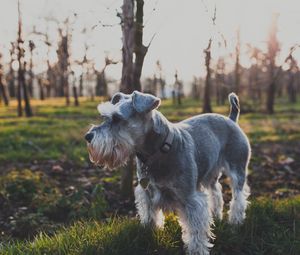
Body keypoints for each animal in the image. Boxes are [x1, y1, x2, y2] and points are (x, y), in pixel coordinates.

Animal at [85, 91, 251, 255]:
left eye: (117, 118)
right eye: (104, 117)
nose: (88, 137)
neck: (159, 150)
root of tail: (231, 120)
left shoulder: (190, 199)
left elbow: (196, 231)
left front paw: (197, 249)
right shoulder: (146, 193)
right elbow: (150, 216)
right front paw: (149, 233)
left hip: (237, 169)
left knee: (239, 197)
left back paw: (235, 221)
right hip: (210, 173)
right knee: (216, 191)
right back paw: (216, 215)